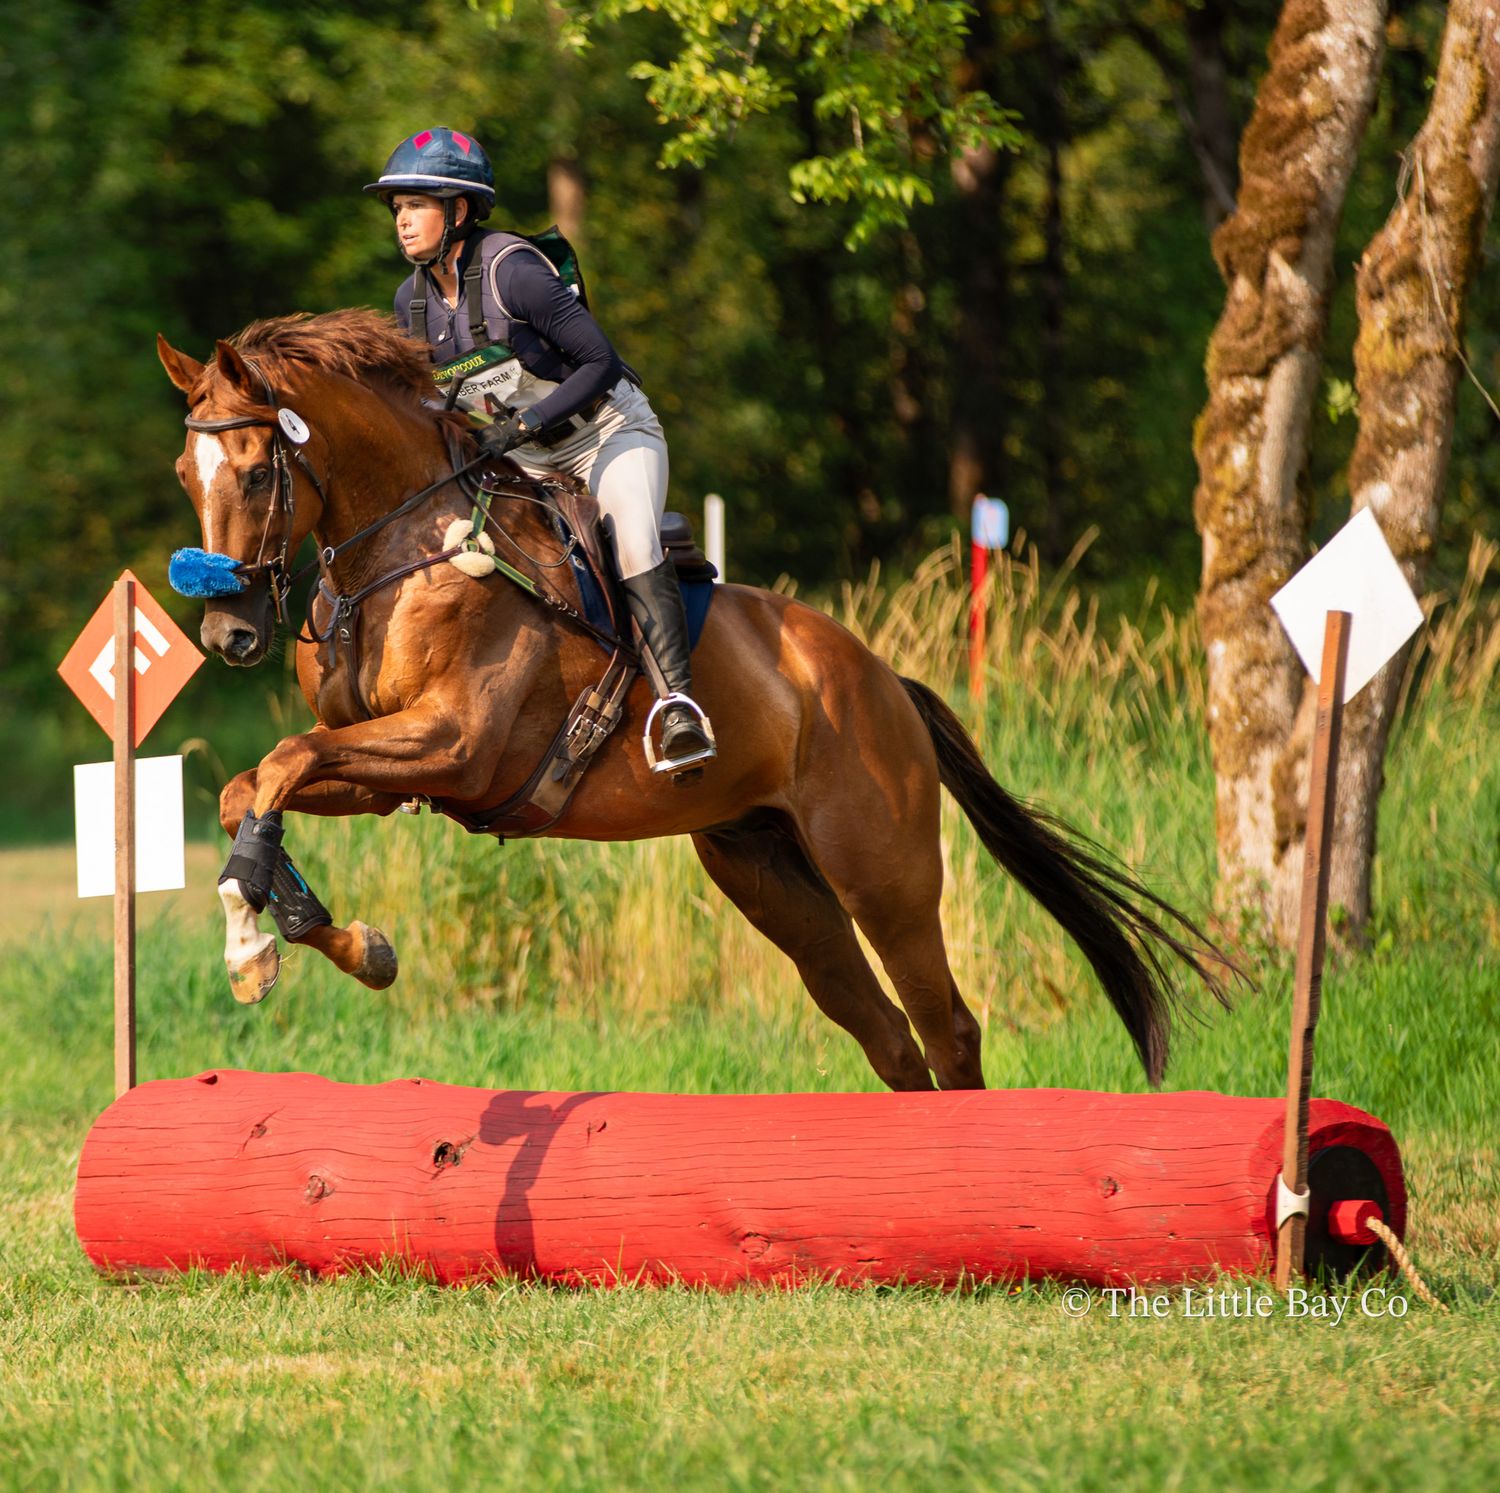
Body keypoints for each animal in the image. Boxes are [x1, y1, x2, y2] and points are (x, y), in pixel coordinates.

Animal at [156, 308, 1232, 1092]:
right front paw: (312, 930)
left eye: (253, 471)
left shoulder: (454, 745)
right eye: (183, 474)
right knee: (888, 1034)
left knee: (948, 1025)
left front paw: (251, 936)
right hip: (768, 873)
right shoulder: (386, 766)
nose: (230, 636)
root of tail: (885, 680)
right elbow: (256, 783)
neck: (405, 546)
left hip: (880, 870)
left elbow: (282, 763)